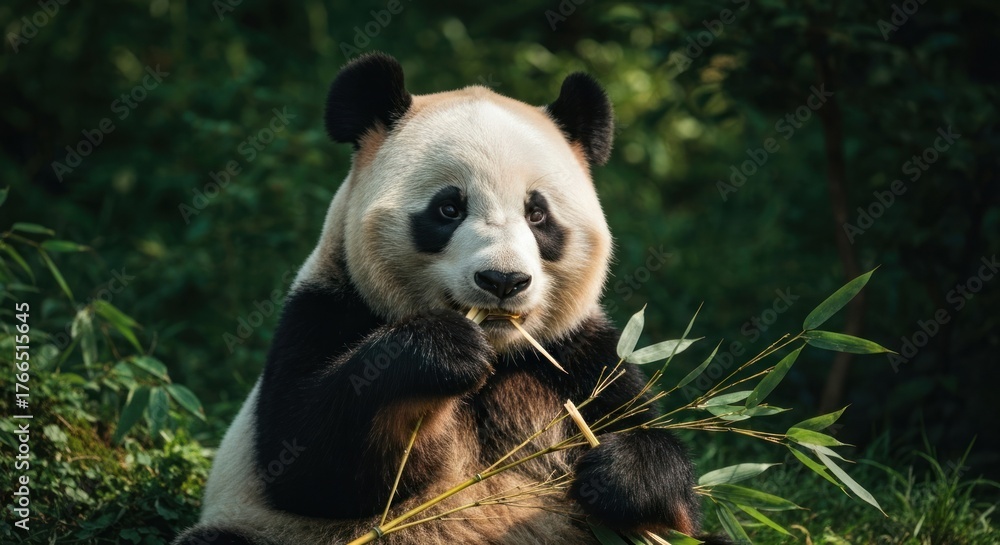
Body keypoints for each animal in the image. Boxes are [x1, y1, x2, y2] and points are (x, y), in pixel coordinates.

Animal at [176, 53, 732, 545]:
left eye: (537, 214)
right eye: (448, 208)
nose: (503, 281)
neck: (501, 357)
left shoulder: (579, 356)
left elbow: (672, 489)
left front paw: (623, 474)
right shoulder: (327, 309)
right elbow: (308, 461)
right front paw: (443, 352)